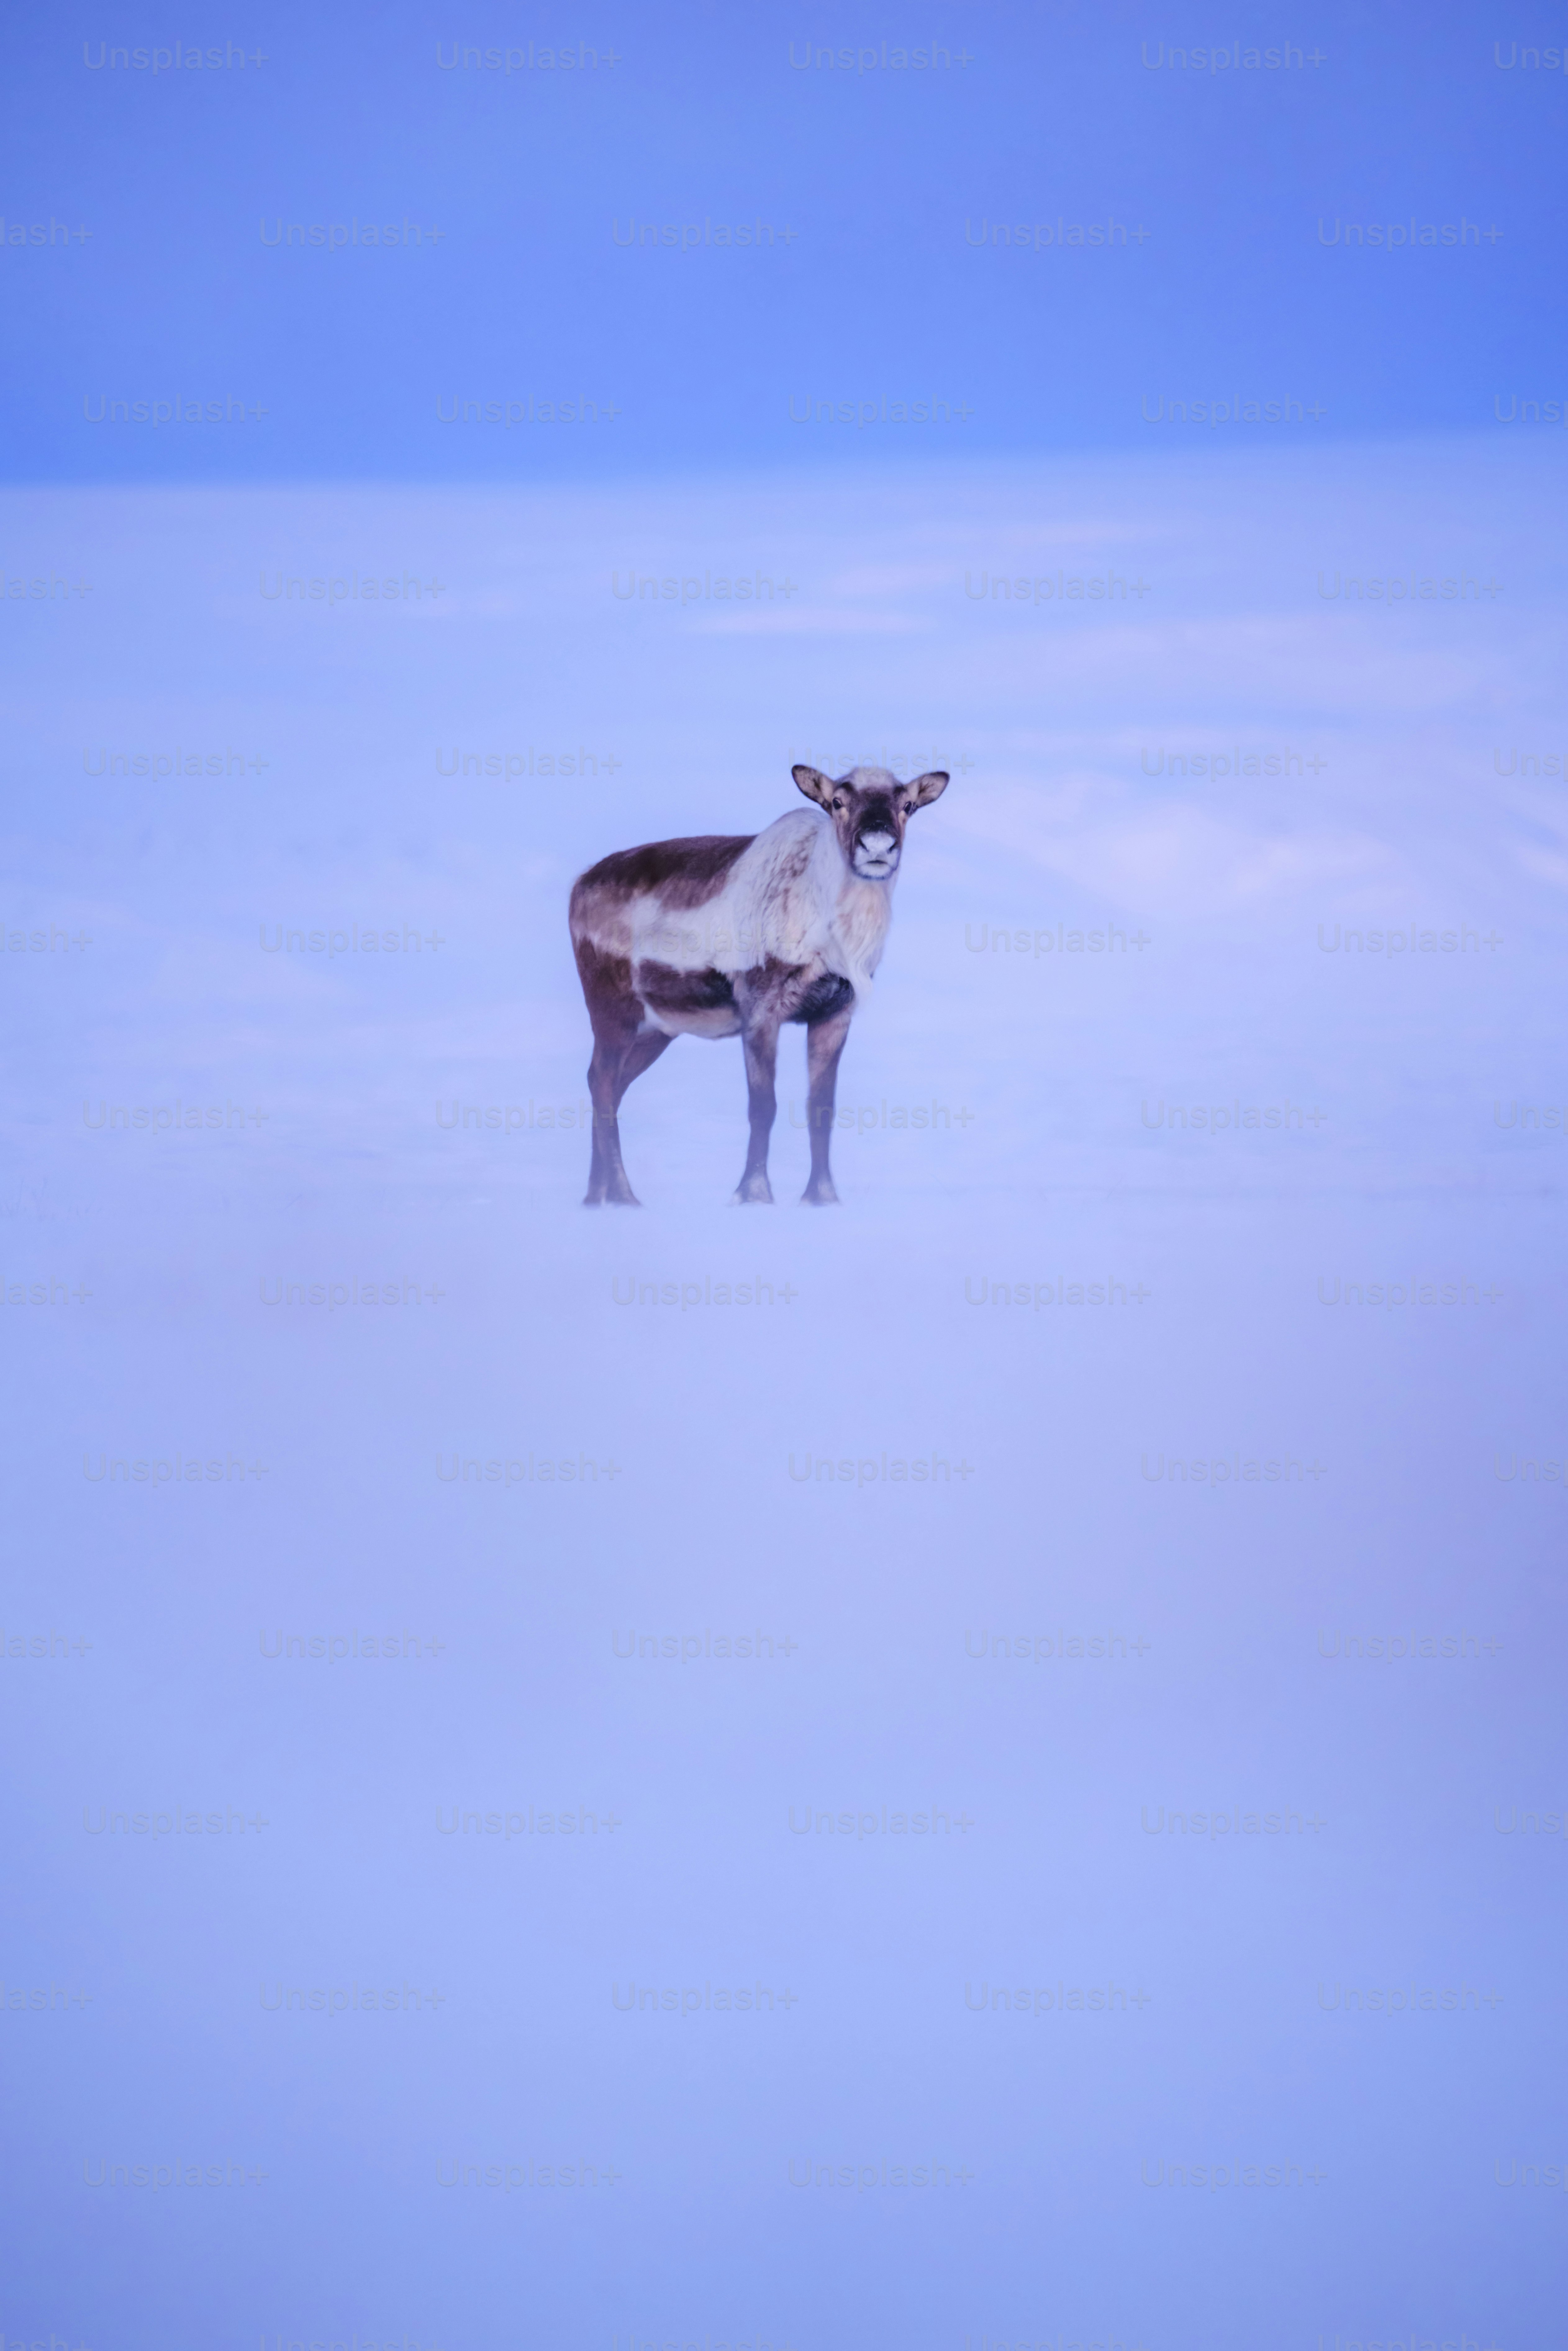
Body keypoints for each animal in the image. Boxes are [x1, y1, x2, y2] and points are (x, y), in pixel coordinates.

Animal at [568, 763, 949, 1205]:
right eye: (837, 800)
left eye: (908, 804)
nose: (877, 846)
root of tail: (578, 886)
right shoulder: (761, 1011)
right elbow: (763, 1106)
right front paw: (753, 1193)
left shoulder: (834, 1013)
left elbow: (821, 1110)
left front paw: (821, 1197)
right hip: (612, 1010)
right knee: (604, 1085)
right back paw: (623, 1195)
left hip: (658, 1029)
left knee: (607, 1083)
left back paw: (596, 1196)